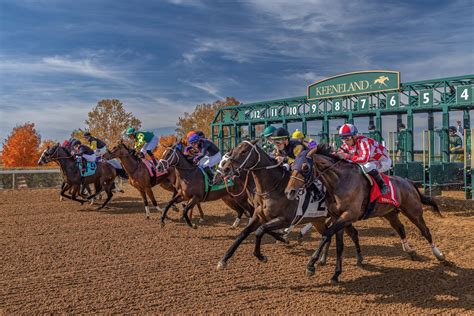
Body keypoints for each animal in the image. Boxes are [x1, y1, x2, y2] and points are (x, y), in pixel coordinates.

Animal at [215, 140, 362, 270]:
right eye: (233, 150)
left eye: (244, 151)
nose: (225, 169)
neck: (273, 187)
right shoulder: (259, 217)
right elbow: (243, 233)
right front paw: (223, 260)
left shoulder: (284, 219)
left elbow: (260, 231)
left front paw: (261, 255)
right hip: (319, 220)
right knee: (327, 234)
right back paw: (322, 259)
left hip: (344, 216)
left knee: (352, 233)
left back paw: (359, 259)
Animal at [286, 144, 448, 282]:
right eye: (292, 166)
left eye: (305, 167)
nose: (289, 192)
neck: (340, 182)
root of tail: (408, 182)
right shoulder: (337, 217)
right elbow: (339, 245)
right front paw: (336, 274)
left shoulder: (348, 216)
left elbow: (326, 234)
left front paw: (311, 265)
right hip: (390, 213)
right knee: (400, 228)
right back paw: (409, 250)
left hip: (413, 211)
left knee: (425, 231)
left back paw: (439, 255)